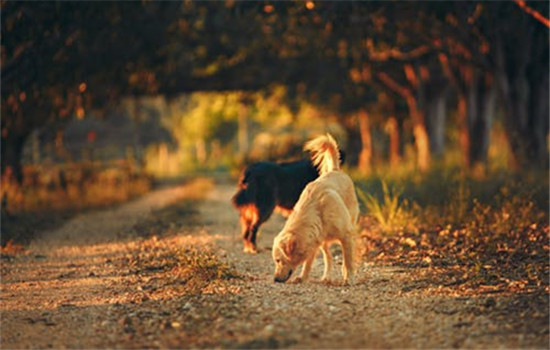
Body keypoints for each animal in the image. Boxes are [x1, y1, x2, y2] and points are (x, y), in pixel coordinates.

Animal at [272, 134, 360, 284]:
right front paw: (303, 277)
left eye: (278, 260)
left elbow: (348, 261)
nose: (275, 279)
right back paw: (326, 277)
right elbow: (308, 262)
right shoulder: (314, 240)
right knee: (328, 258)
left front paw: (349, 277)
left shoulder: (346, 235)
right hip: (323, 242)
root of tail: (335, 170)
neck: (317, 211)